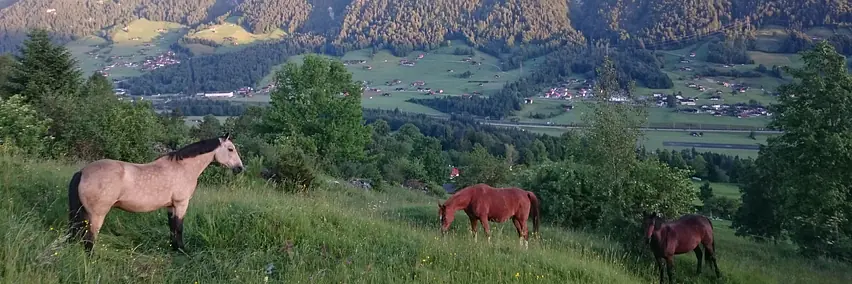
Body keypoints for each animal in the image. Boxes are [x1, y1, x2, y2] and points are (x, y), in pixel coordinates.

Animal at [68, 134, 245, 254]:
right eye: (230, 149)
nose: (240, 168)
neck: (183, 168)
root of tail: (82, 172)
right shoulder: (181, 204)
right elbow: (179, 227)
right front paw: (182, 249)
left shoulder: (171, 206)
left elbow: (172, 227)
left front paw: (175, 248)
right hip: (96, 215)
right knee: (89, 239)